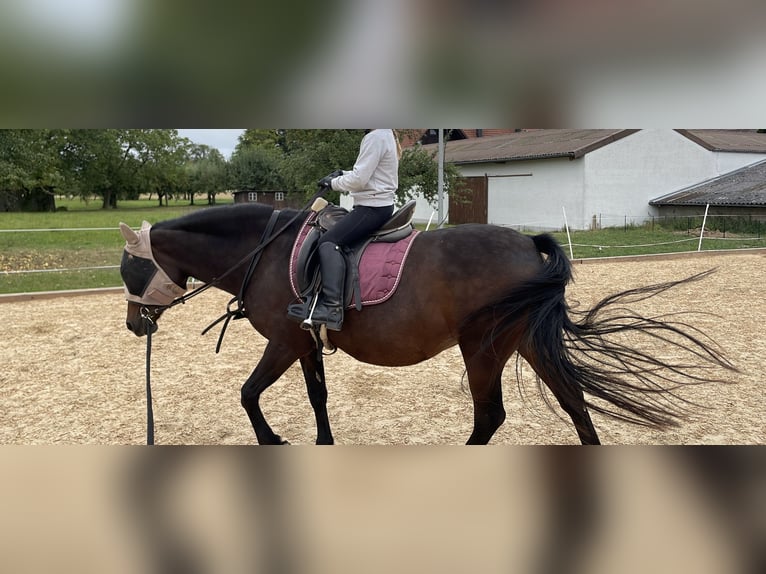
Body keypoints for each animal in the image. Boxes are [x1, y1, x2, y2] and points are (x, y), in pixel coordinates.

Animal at [120, 202, 736, 446]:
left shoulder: (285, 340)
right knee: (574, 401)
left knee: (490, 417)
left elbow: (248, 394)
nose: (133, 326)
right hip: (526, 344)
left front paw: (273, 440)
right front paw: (322, 442)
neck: (265, 252)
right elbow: (318, 398)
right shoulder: (307, 344)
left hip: (483, 348)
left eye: (130, 267)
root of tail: (526, 246)